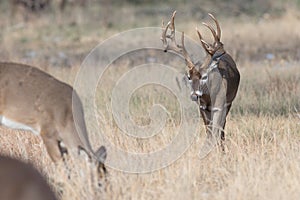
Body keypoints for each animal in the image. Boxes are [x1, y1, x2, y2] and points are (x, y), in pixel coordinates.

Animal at [161, 10, 240, 156]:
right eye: (188, 77)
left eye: (204, 76)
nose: (194, 95)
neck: (209, 98)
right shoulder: (202, 107)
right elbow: (208, 132)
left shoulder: (220, 105)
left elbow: (216, 130)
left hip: (229, 102)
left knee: (222, 127)